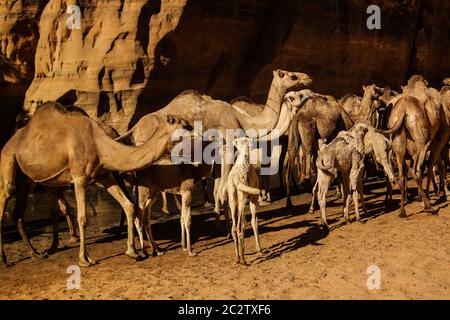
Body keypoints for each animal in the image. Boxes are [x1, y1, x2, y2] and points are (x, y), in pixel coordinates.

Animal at [0, 102, 190, 268]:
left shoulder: (104, 175)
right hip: (8, 159)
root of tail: (10, 140)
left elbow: (128, 205)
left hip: (31, 180)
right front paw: (84, 259)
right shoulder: (79, 178)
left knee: (20, 213)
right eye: (184, 128)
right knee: (6, 194)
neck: (99, 144)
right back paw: (6, 260)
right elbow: (83, 218)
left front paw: (132, 252)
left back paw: (36, 253)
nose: (194, 139)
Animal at [227, 136, 262, 264]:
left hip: (232, 200)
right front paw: (259, 250)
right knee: (239, 228)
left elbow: (244, 223)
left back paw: (238, 258)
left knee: (234, 228)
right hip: (243, 198)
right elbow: (254, 222)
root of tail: (235, 179)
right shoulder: (253, 199)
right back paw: (244, 260)